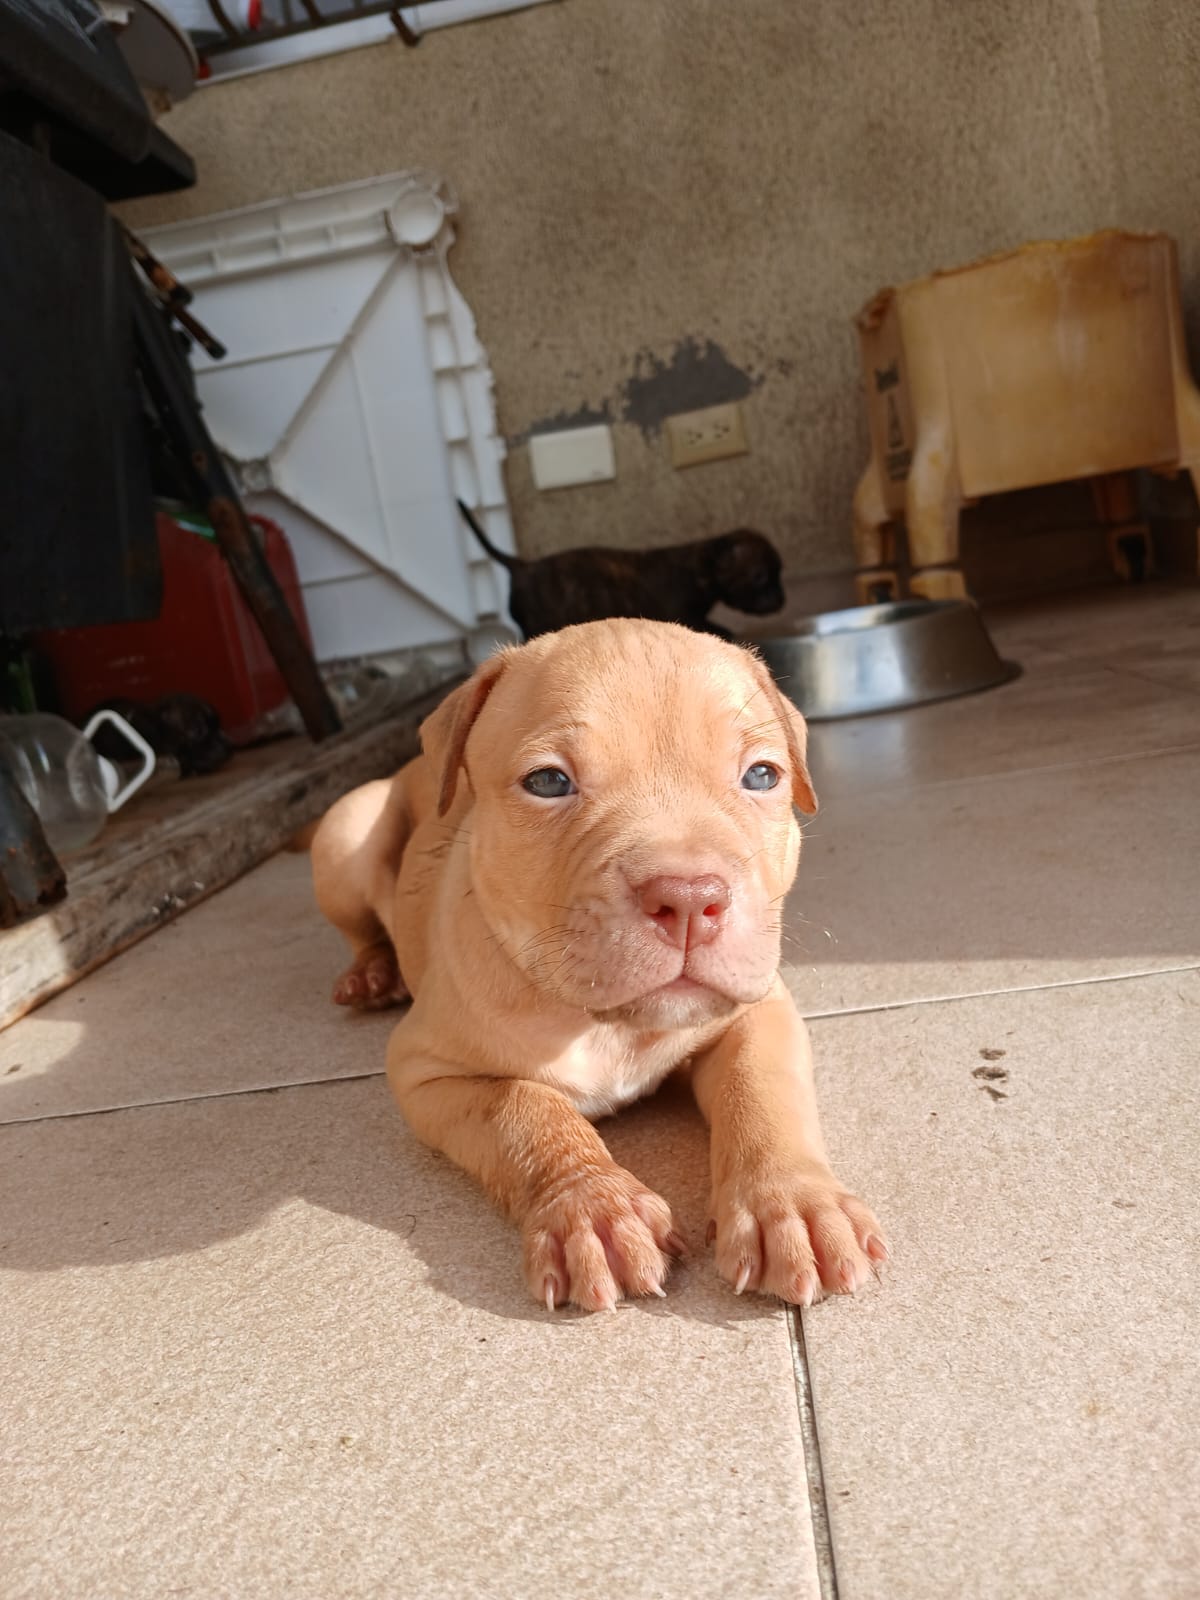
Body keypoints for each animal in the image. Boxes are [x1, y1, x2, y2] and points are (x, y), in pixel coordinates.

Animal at [315, 617, 889, 1305]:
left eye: (760, 776)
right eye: (548, 782)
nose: (689, 898)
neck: (602, 1021)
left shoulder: (760, 1010)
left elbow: (763, 1090)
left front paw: (795, 1208)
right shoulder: (427, 1071)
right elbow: (523, 1109)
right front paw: (593, 1210)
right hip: (343, 830)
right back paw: (371, 974)